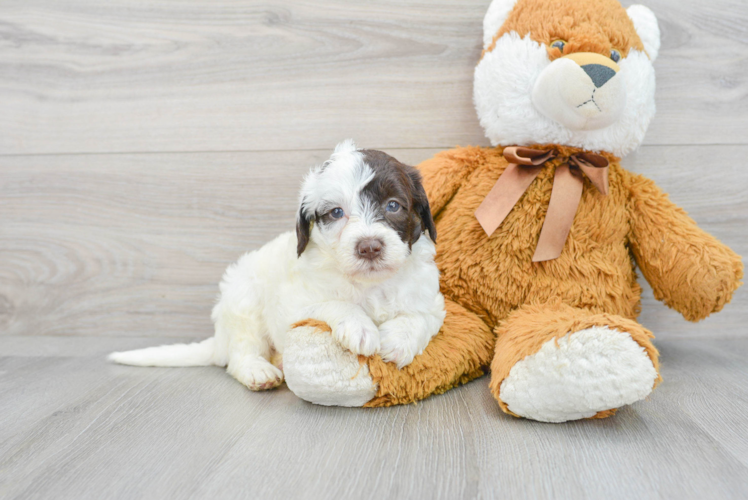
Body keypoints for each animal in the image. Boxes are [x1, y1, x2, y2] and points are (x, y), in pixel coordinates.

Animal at [109, 140, 448, 390]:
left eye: (393, 206)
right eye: (336, 213)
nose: (369, 247)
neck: (370, 284)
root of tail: (220, 338)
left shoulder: (432, 301)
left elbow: (420, 318)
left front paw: (399, 340)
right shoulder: (293, 307)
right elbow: (334, 304)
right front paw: (359, 326)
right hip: (243, 301)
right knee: (240, 352)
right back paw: (258, 370)